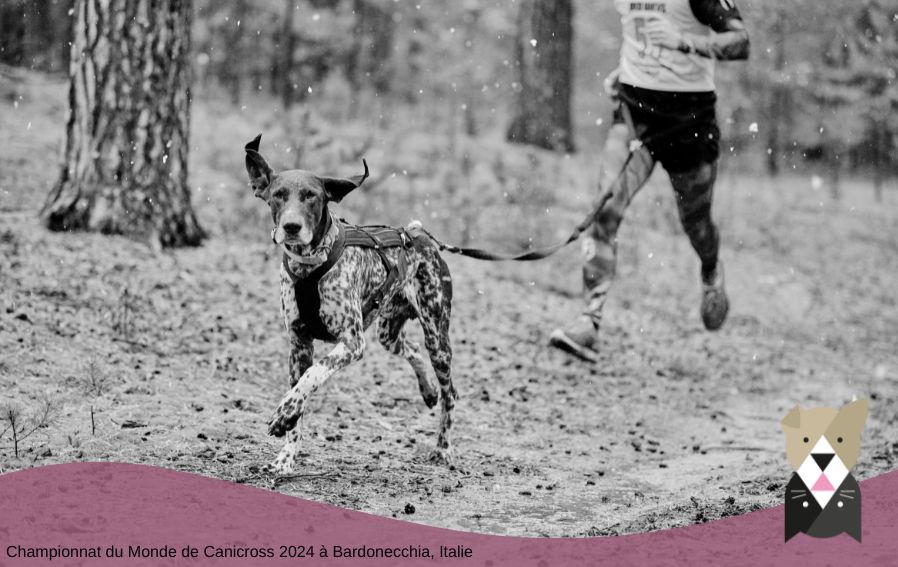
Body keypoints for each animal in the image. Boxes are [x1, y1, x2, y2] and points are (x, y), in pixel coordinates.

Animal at [243, 135, 456, 472]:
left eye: (311, 196)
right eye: (278, 195)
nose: (291, 227)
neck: (309, 265)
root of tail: (418, 236)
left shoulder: (351, 342)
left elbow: (313, 374)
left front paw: (284, 412)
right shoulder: (298, 344)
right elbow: (299, 396)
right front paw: (286, 458)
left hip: (438, 338)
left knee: (451, 395)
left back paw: (444, 447)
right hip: (388, 333)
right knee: (411, 350)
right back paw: (428, 389)